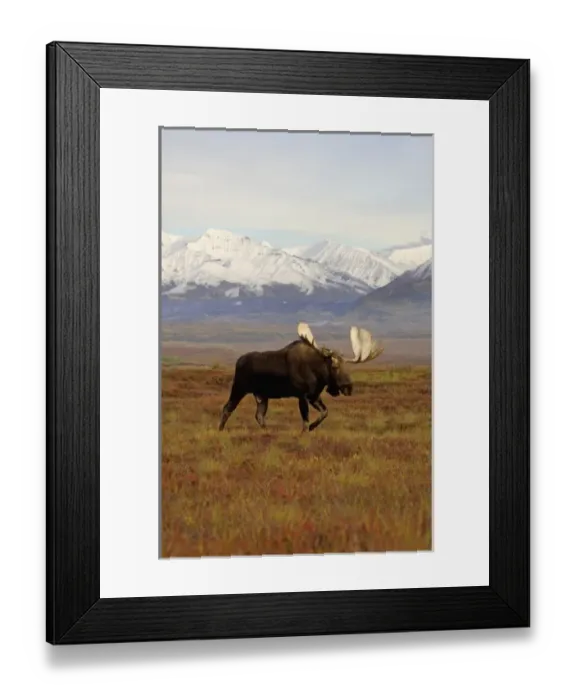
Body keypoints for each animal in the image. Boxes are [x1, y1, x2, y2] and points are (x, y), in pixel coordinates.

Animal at [218, 322, 384, 433]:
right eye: (335, 366)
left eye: (346, 366)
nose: (349, 387)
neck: (318, 373)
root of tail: (238, 361)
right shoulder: (302, 395)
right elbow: (305, 419)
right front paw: (305, 431)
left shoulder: (314, 396)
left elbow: (324, 413)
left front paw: (312, 428)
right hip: (239, 387)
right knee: (227, 408)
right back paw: (220, 429)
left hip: (261, 395)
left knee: (259, 415)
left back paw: (267, 432)